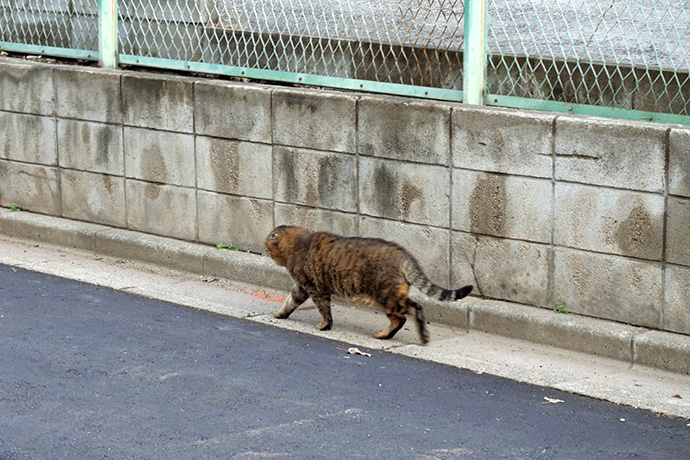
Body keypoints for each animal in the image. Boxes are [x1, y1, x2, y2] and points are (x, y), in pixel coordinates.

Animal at [264, 226, 472, 344]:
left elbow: (324, 309)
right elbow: (290, 301)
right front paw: (280, 313)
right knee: (399, 319)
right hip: (386, 298)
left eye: (267, 243)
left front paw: (326, 325)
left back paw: (423, 336)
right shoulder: (301, 287)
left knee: (415, 309)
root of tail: (404, 253)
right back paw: (384, 335)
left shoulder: (314, 288)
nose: (264, 248)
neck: (299, 243)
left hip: (386, 296)